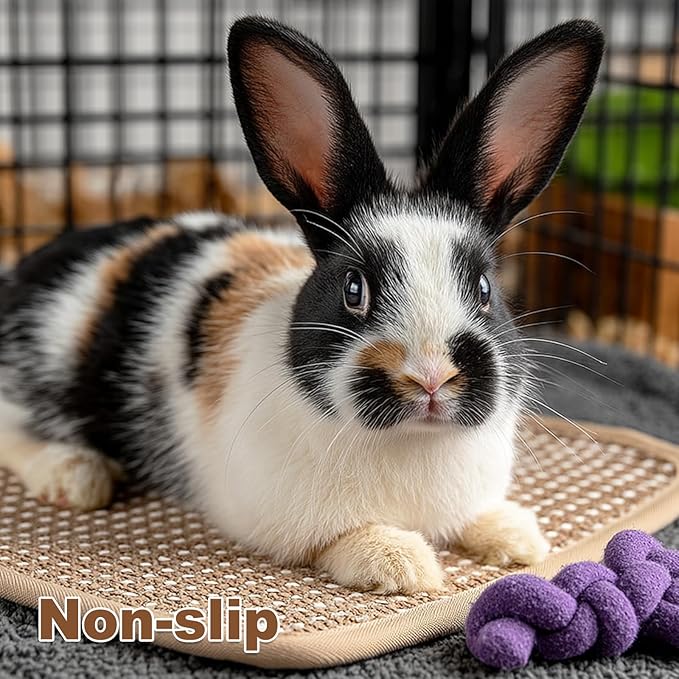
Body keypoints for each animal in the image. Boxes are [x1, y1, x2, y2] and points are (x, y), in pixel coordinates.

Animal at [0, 17, 603, 594]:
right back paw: (74, 475)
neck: (412, 440)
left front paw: (518, 538)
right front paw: (401, 564)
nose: (432, 376)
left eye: (482, 288)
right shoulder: (283, 520)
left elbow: (476, 517)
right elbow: (344, 538)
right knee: (12, 427)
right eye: (354, 288)